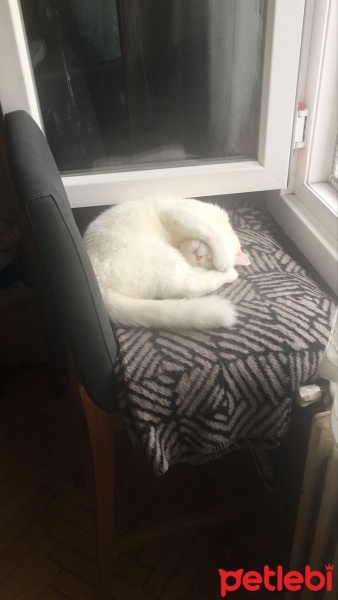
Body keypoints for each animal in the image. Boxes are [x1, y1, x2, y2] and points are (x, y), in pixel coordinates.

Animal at [83, 196, 250, 328]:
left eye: (208, 261)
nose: (199, 258)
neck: (178, 240)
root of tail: (98, 285)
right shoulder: (182, 214)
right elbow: (212, 232)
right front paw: (224, 259)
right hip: (164, 258)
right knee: (192, 285)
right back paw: (230, 273)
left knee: (191, 285)